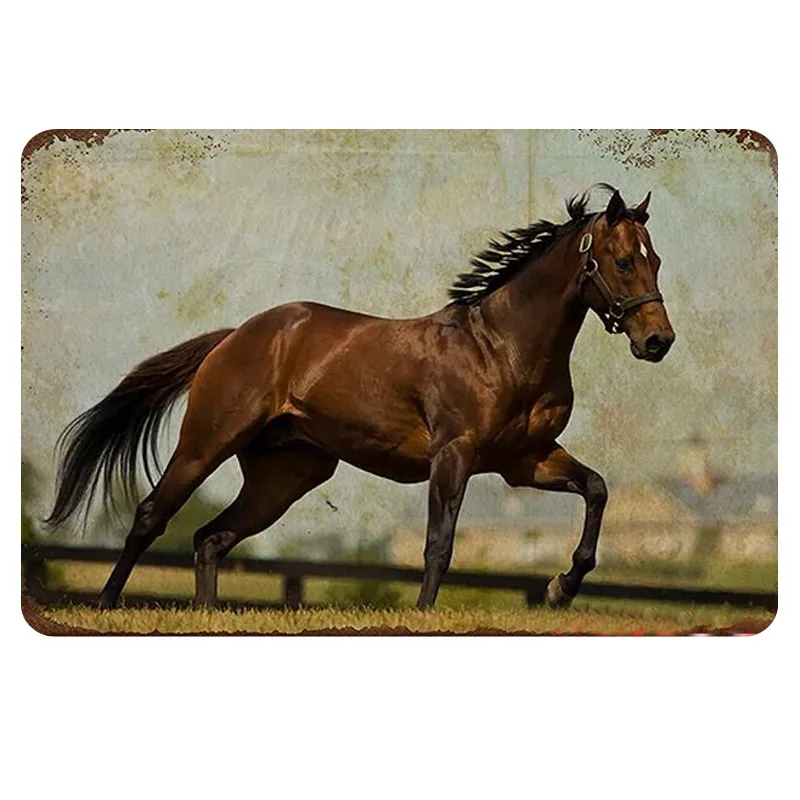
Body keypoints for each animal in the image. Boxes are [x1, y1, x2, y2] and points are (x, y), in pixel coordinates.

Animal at [45, 184, 675, 610]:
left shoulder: (525, 461)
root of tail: (235, 336)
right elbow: (439, 543)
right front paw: (425, 614)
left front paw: (560, 587)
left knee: (210, 538)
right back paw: (106, 605)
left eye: (657, 260)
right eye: (623, 261)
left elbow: (596, 489)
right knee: (152, 516)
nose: (658, 341)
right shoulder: (455, 454)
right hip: (207, 443)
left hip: (287, 475)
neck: (501, 348)